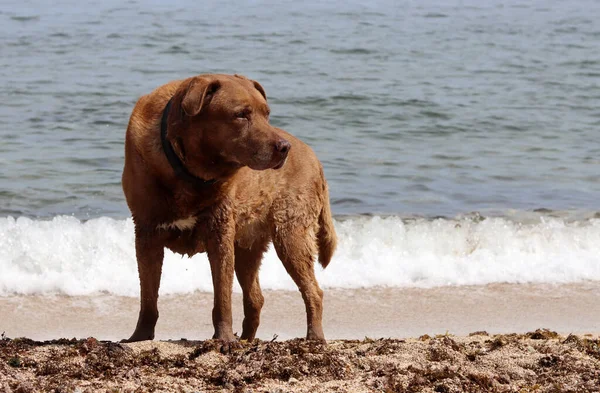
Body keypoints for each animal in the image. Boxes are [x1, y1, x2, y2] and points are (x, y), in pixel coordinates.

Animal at [122, 73, 338, 344]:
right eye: (241, 114)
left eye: (266, 113)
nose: (284, 148)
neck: (189, 172)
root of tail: (315, 159)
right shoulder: (146, 232)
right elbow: (148, 295)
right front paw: (139, 337)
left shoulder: (220, 230)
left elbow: (222, 295)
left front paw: (224, 338)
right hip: (249, 245)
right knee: (255, 296)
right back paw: (247, 340)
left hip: (290, 233)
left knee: (313, 291)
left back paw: (314, 337)